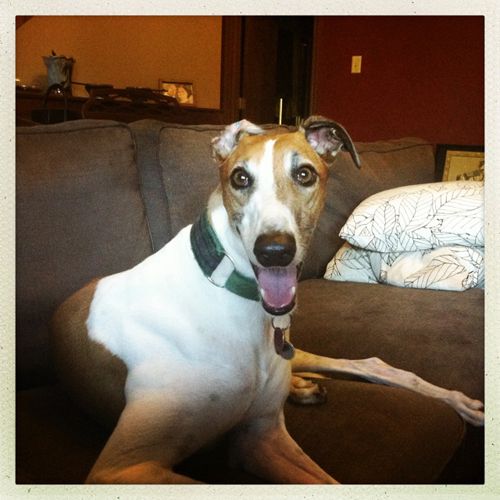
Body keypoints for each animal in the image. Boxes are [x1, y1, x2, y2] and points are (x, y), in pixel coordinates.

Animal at [51, 117, 484, 484]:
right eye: (240, 177)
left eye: (304, 173)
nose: (274, 251)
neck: (228, 296)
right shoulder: (124, 466)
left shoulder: (262, 436)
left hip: (296, 353)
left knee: (370, 364)